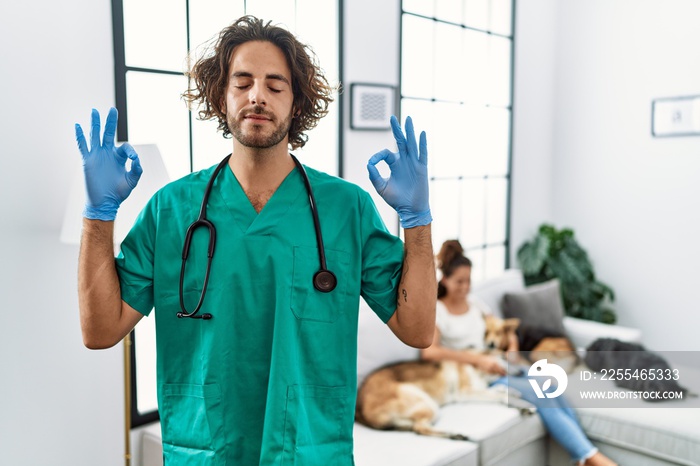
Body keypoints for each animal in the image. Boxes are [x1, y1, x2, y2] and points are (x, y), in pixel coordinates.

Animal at [356, 314, 536, 440]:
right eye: (505, 359)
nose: (522, 373)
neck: (479, 369)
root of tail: (359, 409)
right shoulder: (466, 392)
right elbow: (498, 395)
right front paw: (521, 403)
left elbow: (500, 389)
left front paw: (512, 392)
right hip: (426, 402)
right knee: (420, 428)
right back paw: (452, 433)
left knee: (417, 428)